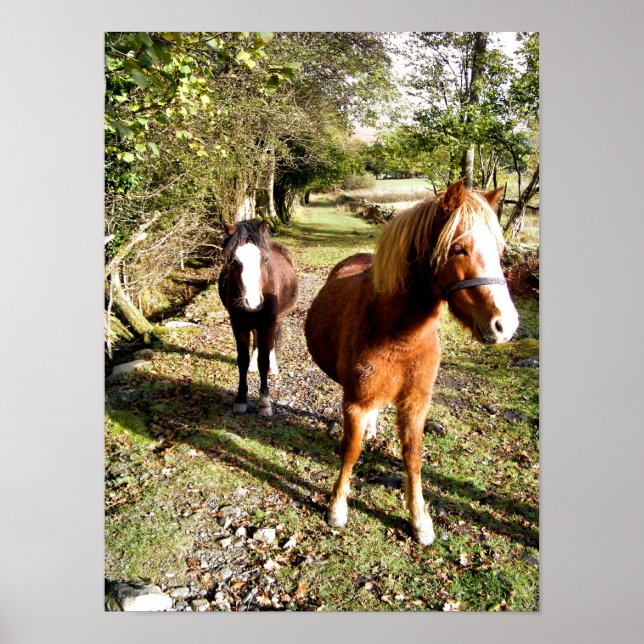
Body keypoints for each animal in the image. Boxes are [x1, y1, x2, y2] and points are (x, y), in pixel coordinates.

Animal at [218, 219, 298, 417]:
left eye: (265, 260)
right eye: (233, 261)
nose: (252, 302)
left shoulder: (267, 324)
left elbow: (264, 359)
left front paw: (264, 403)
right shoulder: (238, 325)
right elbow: (242, 360)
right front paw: (240, 400)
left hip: (276, 320)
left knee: (271, 344)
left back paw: (273, 368)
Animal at [304, 180, 519, 546]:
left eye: (500, 249)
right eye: (459, 249)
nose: (505, 325)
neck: (397, 333)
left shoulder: (416, 403)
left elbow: (414, 457)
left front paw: (420, 520)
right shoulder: (355, 403)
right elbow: (351, 451)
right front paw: (337, 507)